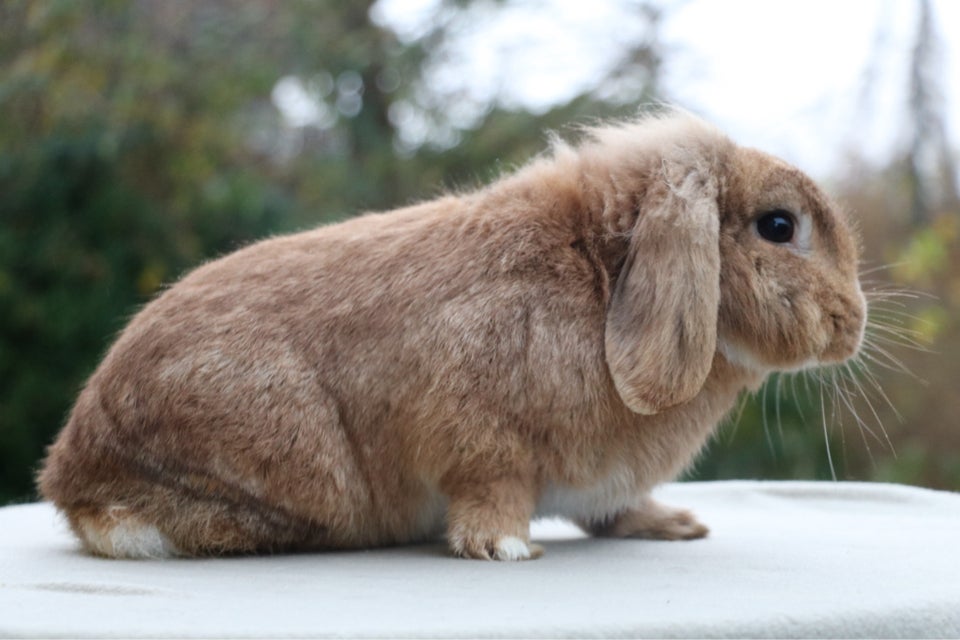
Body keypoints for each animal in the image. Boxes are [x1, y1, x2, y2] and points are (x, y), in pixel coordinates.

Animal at [37, 114, 868, 560]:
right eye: (779, 226)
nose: (851, 326)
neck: (599, 283)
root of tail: (70, 473)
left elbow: (608, 511)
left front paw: (675, 526)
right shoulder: (481, 444)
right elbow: (490, 495)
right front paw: (507, 548)